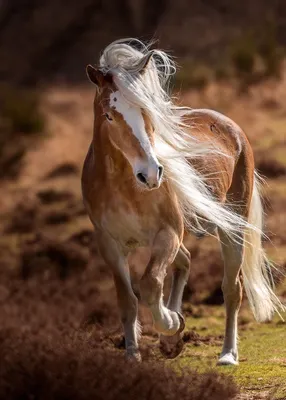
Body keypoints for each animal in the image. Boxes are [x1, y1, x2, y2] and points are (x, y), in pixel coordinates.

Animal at [81, 38, 284, 366]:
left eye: (148, 113)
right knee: (186, 262)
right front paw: (133, 355)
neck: (123, 186)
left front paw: (171, 323)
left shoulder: (168, 234)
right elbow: (127, 300)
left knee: (231, 288)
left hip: (231, 230)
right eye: (110, 115)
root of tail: (230, 126)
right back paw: (172, 341)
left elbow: (150, 283)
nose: (151, 174)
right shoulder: (110, 244)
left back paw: (227, 354)